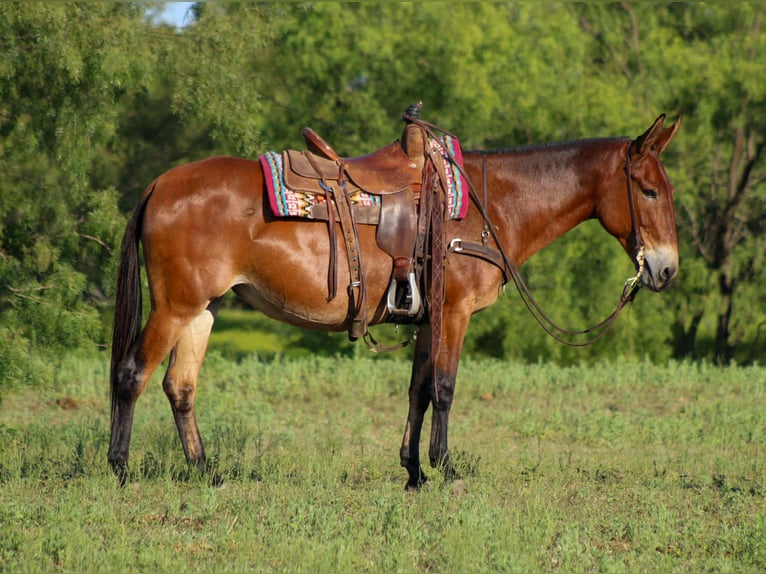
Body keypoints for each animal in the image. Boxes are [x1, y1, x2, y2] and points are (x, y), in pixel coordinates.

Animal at [108, 114, 681, 489]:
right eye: (648, 191)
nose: (667, 269)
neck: (489, 205)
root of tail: (158, 185)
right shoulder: (454, 313)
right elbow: (445, 388)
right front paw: (446, 469)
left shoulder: (427, 319)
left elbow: (418, 392)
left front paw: (413, 471)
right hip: (175, 306)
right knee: (132, 373)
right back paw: (119, 468)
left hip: (202, 310)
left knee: (179, 387)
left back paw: (206, 472)